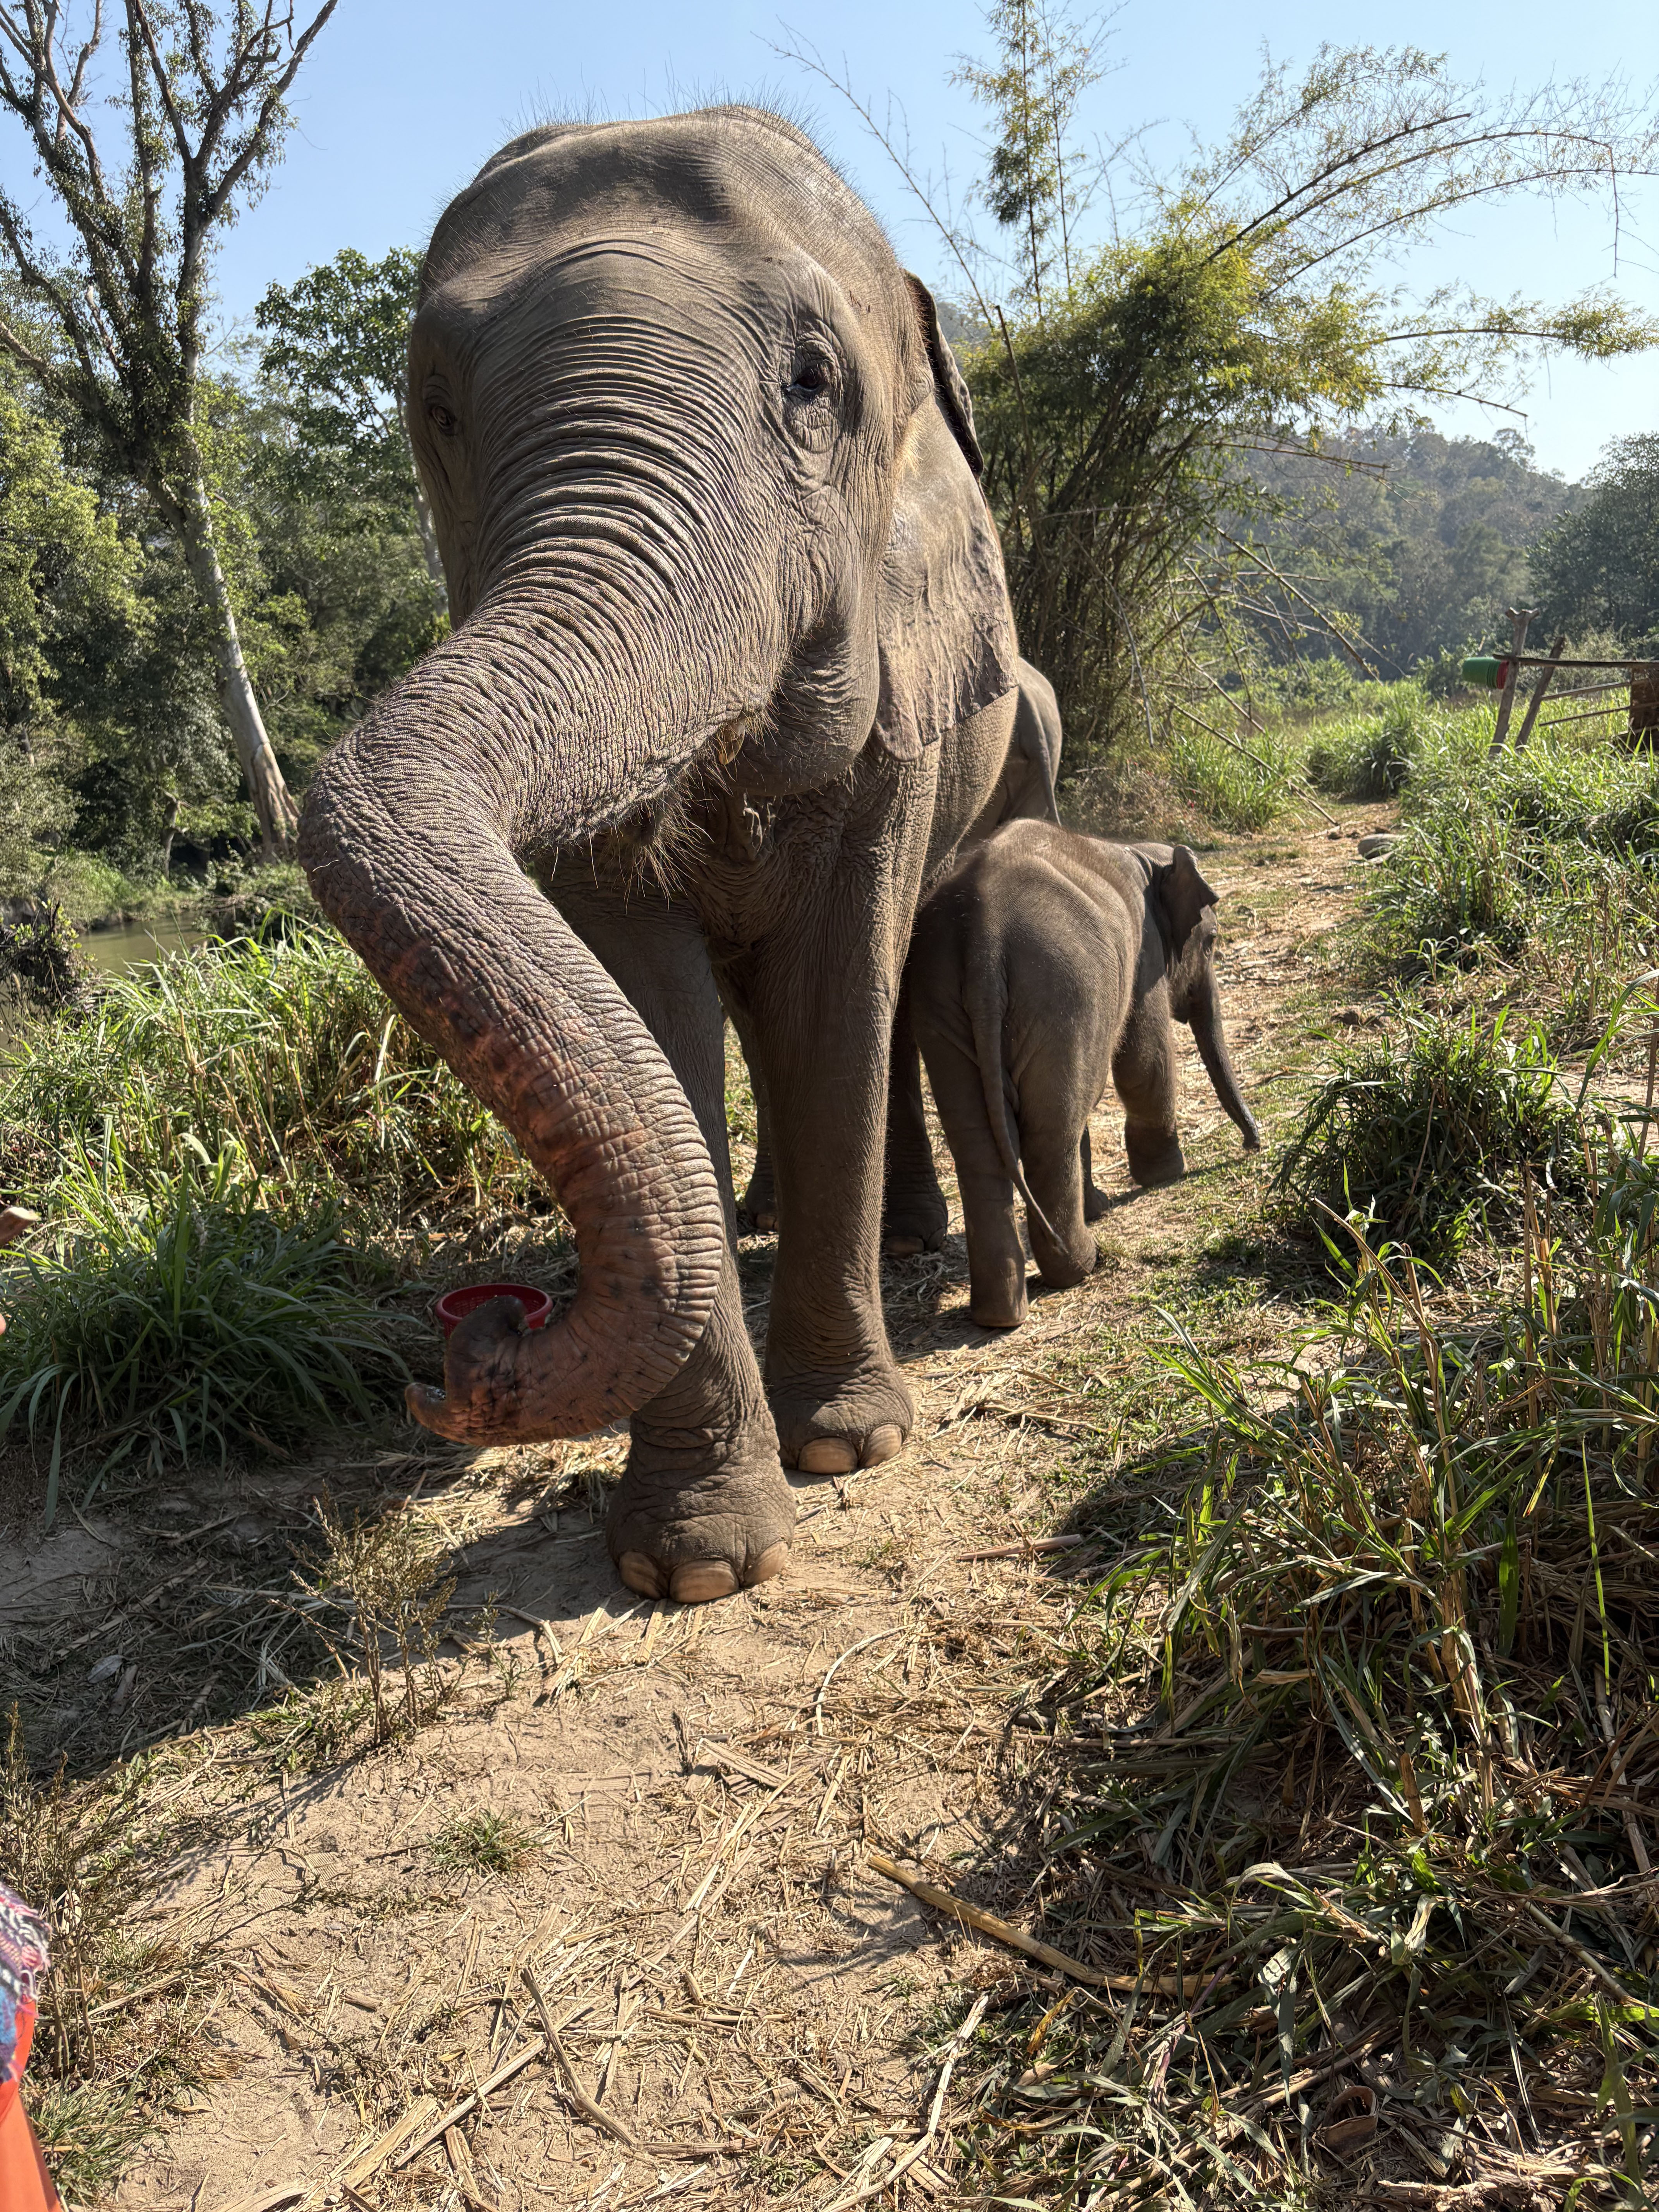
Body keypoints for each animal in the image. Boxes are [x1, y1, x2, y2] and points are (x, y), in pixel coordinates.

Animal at [297, 107, 1021, 1604]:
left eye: (813, 385)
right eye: (437, 413)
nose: (473, 1337)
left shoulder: (904, 707)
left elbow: (835, 993)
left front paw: (848, 1448)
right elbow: (651, 1009)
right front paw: (692, 1564)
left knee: (880, 990)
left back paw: (901, 1241)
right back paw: (760, 1214)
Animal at [907, 821, 1261, 1330]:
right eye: (1212, 942)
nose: (1255, 1145)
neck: (1144, 855)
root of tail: (982, 940)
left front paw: (1108, 1200)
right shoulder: (1144, 954)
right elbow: (1145, 1060)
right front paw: (1165, 1176)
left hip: (940, 1002)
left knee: (979, 1148)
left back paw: (1000, 1316)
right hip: (1064, 993)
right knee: (1051, 1135)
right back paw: (1080, 1266)